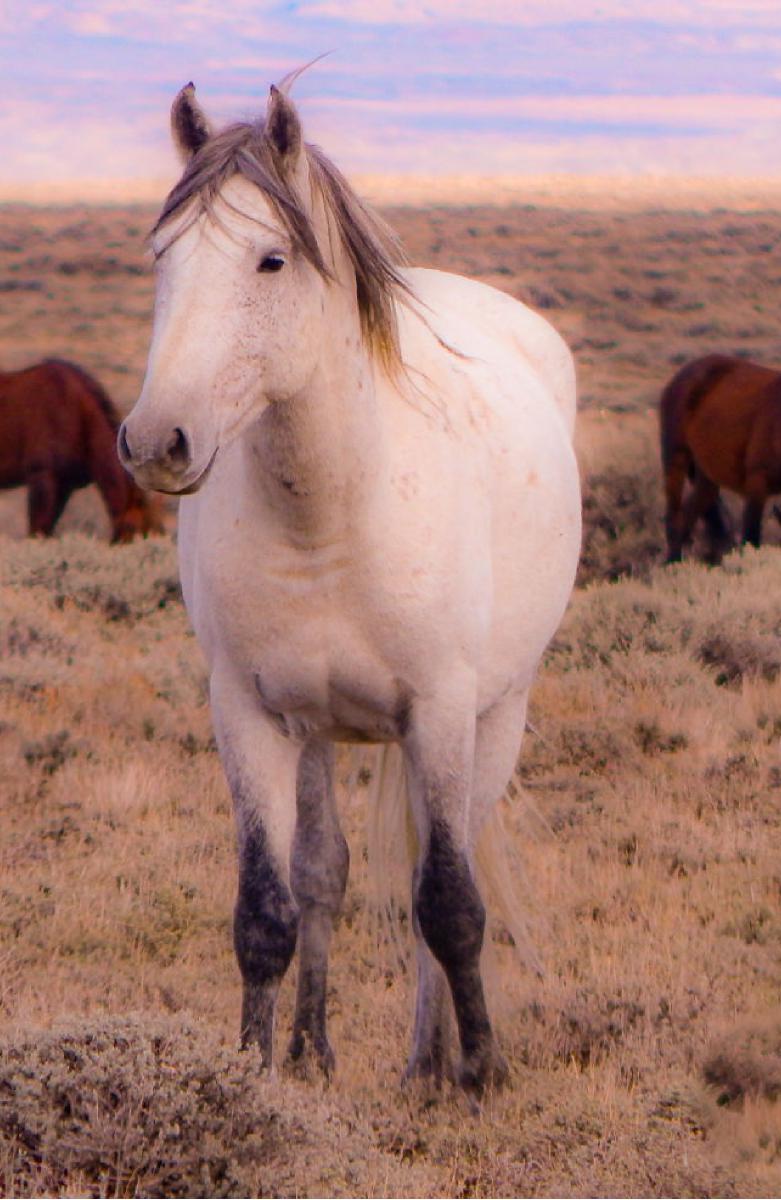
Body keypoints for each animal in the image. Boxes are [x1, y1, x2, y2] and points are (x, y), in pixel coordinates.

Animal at [117, 82, 580, 1099]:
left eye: (271, 257)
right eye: (163, 257)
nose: (157, 441)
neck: (327, 516)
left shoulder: (439, 711)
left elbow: (448, 901)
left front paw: (479, 1071)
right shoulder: (249, 713)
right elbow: (269, 906)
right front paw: (253, 1074)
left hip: (496, 714)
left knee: (442, 864)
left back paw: (427, 1061)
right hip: (321, 731)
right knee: (323, 869)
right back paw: (314, 1048)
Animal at [662, 352, 781, 564]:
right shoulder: (757, 484)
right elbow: (751, 539)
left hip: (706, 478)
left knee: (690, 517)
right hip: (675, 459)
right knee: (674, 518)